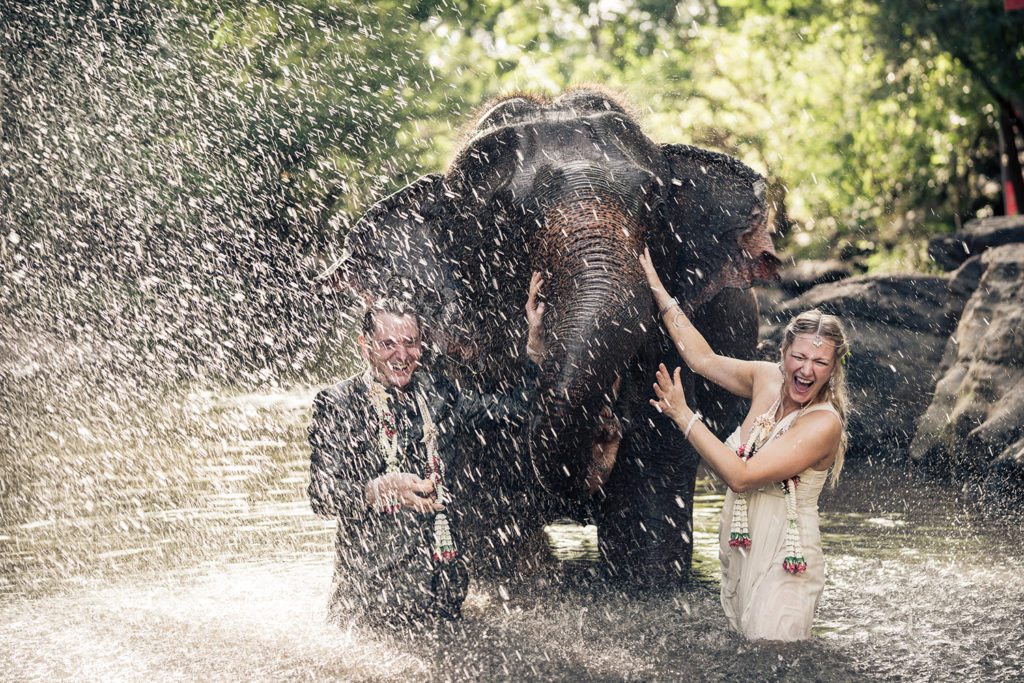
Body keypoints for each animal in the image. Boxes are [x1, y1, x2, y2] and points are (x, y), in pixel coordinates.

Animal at [327, 88, 774, 585]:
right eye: (504, 217)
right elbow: (493, 522)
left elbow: (650, 497)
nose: (607, 430)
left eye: (653, 200)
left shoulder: (666, 354)